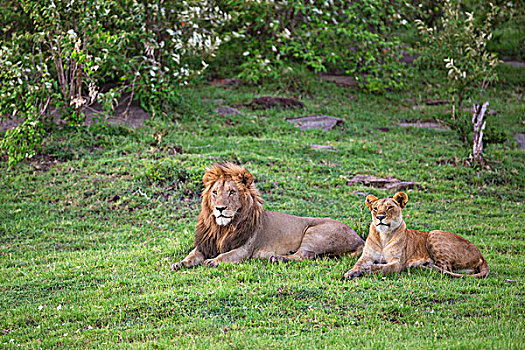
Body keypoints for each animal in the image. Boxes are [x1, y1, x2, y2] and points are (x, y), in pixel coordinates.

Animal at [170, 163, 362, 270]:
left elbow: (225, 256)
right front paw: (179, 263)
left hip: (316, 232)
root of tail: (359, 238)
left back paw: (278, 258)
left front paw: (212, 261)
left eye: (231, 192)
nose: (220, 208)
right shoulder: (205, 244)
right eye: (215, 192)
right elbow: (191, 256)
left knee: (302, 255)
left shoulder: (244, 249)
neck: (223, 228)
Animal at [344, 191, 488, 278]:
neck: (384, 236)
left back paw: (425, 267)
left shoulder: (397, 262)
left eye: (390, 207)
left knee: (446, 269)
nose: (380, 217)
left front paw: (368, 270)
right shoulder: (367, 256)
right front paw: (351, 272)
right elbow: (357, 264)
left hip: (434, 234)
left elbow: (383, 268)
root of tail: (481, 255)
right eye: (375, 208)